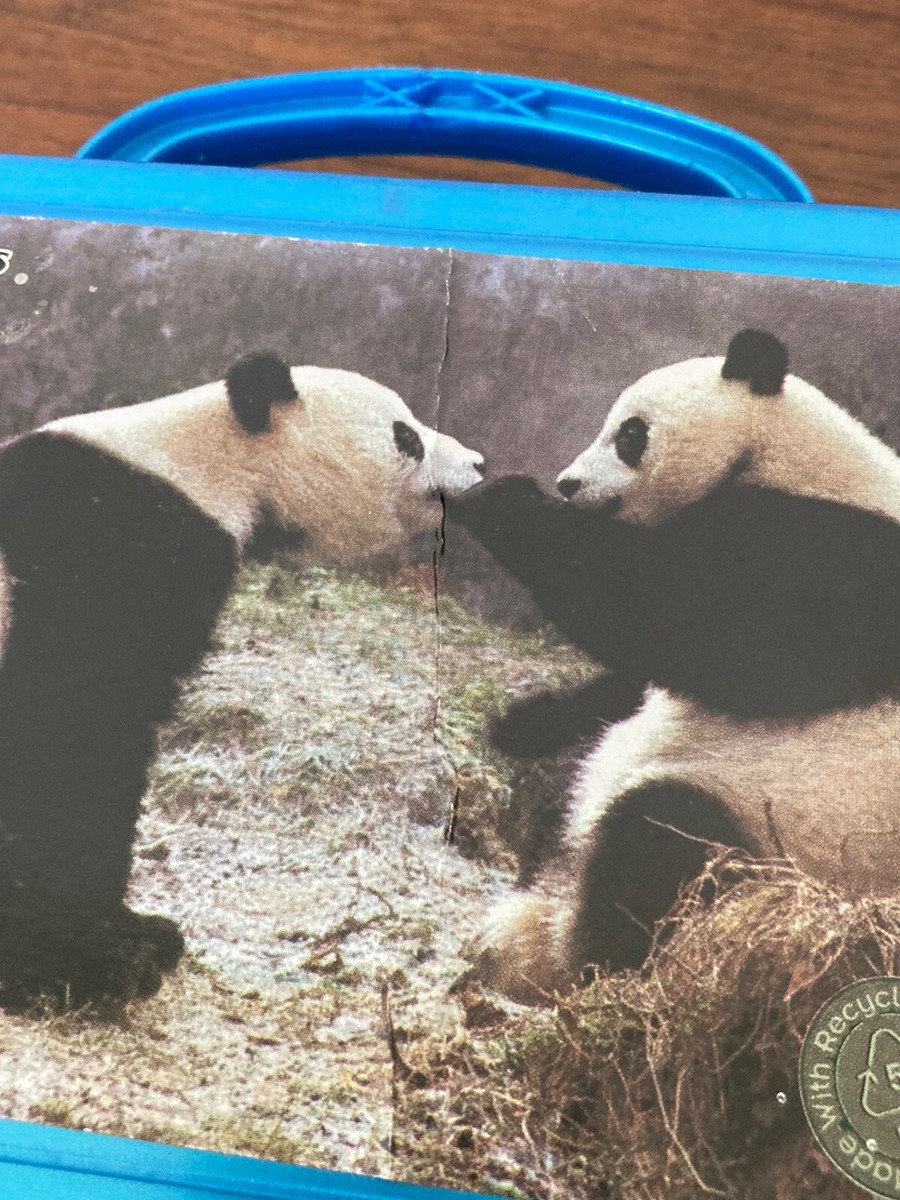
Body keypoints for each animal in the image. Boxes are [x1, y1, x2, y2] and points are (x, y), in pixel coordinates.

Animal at [0, 351, 485, 1007]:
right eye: (404, 435)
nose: (478, 465)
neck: (215, 466)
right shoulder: (111, 554)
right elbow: (78, 736)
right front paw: (86, 953)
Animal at [450, 329, 900, 1002]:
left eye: (630, 434)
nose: (568, 483)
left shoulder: (836, 559)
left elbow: (690, 628)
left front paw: (504, 500)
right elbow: (641, 677)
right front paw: (524, 720)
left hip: (796, 834)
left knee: (657, 845)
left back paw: (585, 968)